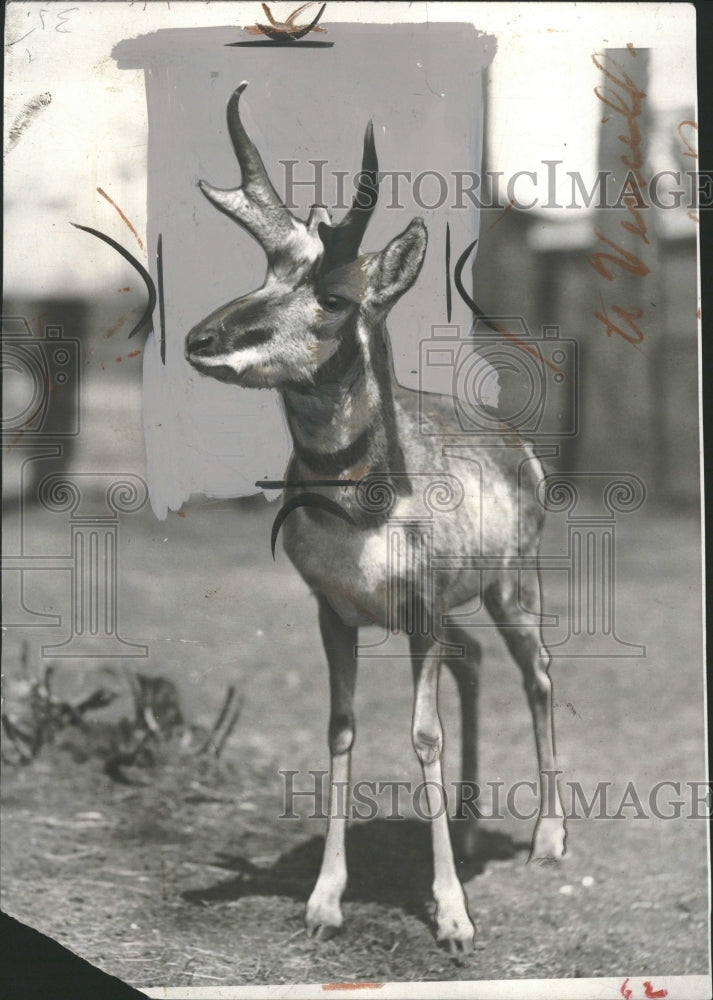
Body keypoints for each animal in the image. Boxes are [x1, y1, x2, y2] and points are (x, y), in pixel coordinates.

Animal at [185, 83, 566, 953]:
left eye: (332, 297)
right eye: (265, 272)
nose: (202, 337)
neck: (363, 513)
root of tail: (514, 440)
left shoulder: (419, 611)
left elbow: (421, 736)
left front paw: (453, 917)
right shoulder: (337, 613)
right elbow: (340, 727)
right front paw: (324, 902)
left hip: (513, 588)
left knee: (535, 674)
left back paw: (549, 840)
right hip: (450, 612)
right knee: (473, 660)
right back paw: (466, 820)